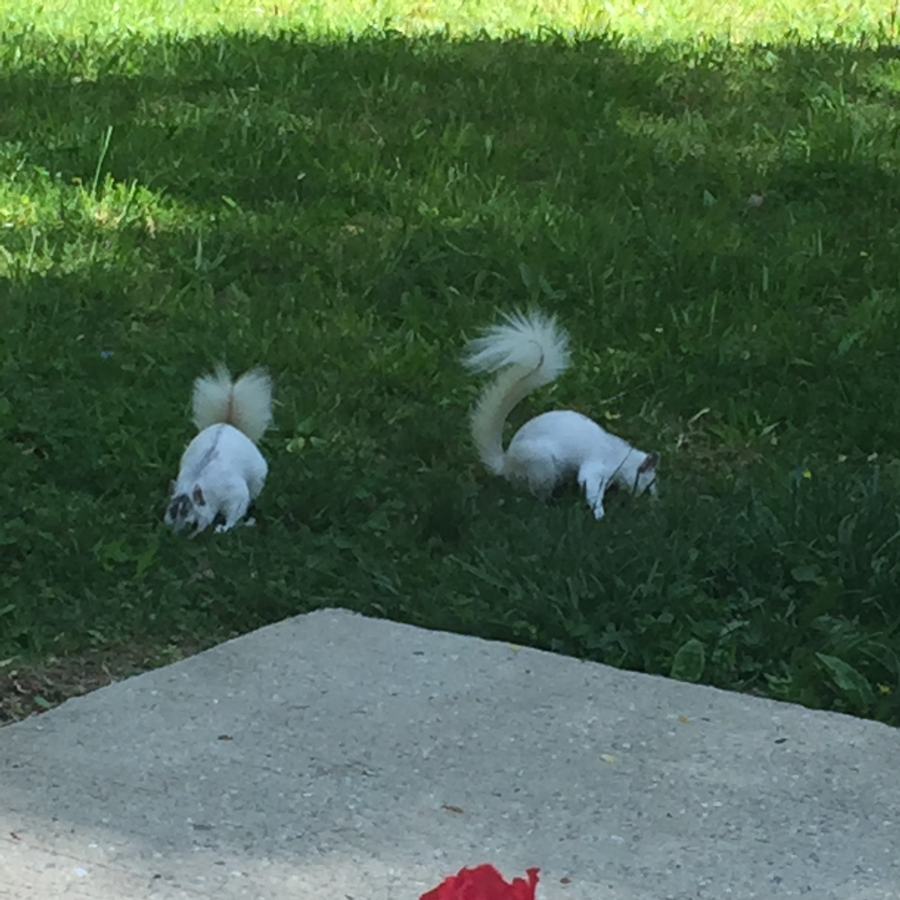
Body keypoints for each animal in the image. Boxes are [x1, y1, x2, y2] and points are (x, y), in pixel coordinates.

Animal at [165, 365, 273, 537]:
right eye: (170, 511)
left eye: (191, 520)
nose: (175, 535)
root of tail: (228, 424)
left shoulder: (234, 494)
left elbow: (235, 512)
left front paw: (223, 528)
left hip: (257, 479)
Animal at [462, 309, 659, 520]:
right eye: (648, 485)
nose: (653, 503)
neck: (620, 455)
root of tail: (507, 464)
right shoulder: (596, 465)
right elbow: (591, 487)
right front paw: (599, 514)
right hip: (541, 465)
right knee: (536, 494)